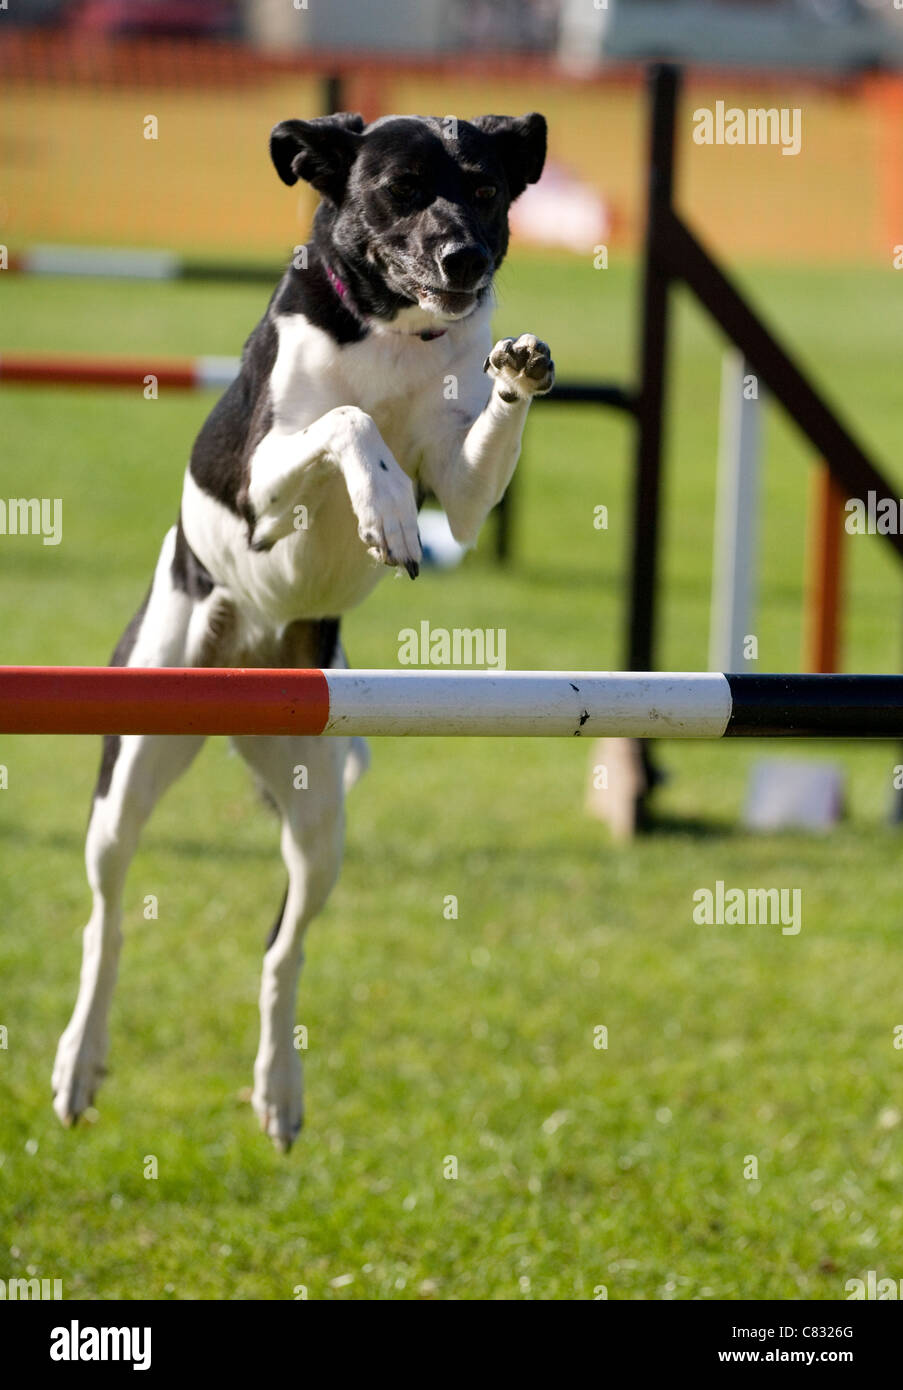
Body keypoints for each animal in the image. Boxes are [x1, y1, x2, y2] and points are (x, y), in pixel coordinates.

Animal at [56, 108, 552, 1150]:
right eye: (401, 189)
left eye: (486, 188)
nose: (464, 256)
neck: (390, 329)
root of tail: (242, 676)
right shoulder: (259, 487)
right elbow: (349, 422)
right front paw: (385, 511)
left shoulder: (466, 494)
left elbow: (468, 452)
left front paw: (520, 371)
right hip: (129, 771)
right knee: (107, 917)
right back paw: (78, 1064)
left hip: (319, 817)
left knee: (281, 951)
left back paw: (278, 1090)